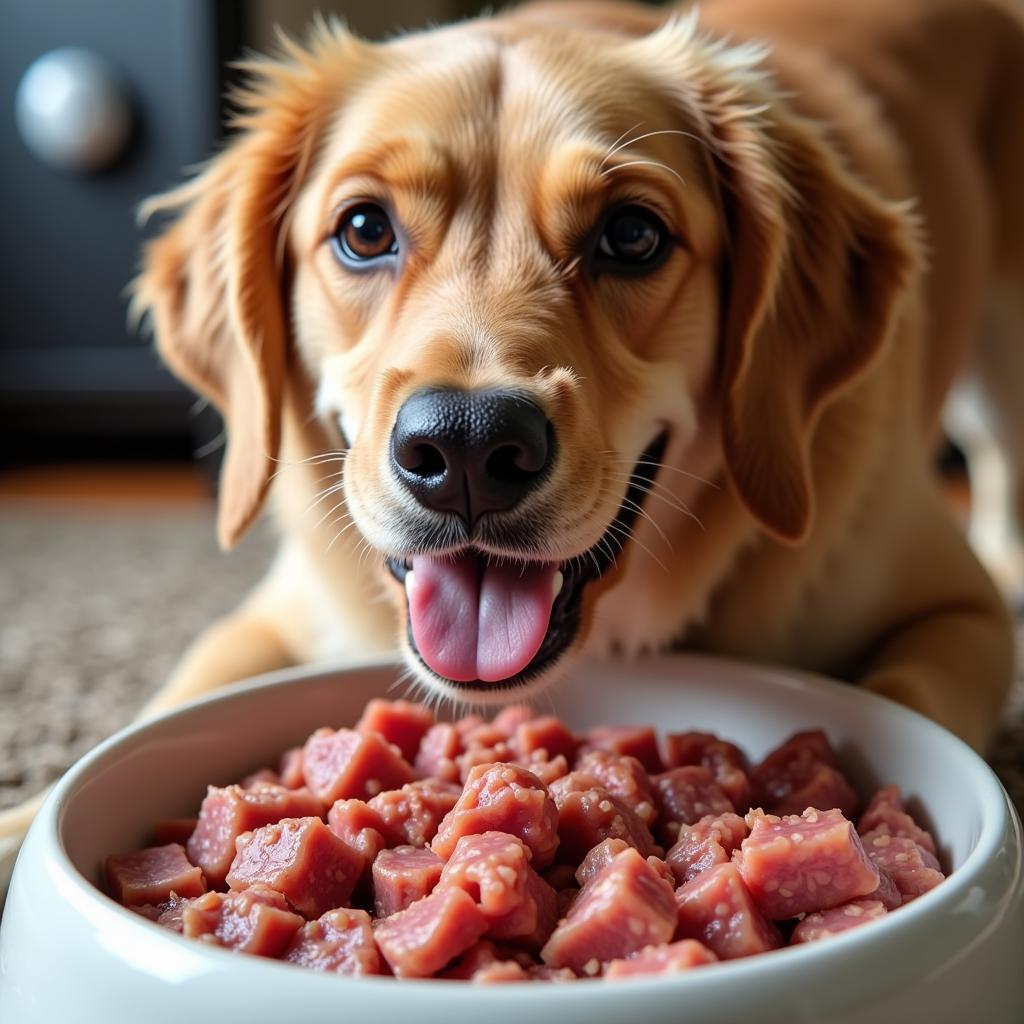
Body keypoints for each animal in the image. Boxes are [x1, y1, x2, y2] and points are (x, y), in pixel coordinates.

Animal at [2, 0, 1024, 856]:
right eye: (364, 230)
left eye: (633, 236)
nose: (463, 447)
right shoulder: (264, 619)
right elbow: (156, 709)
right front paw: (26, 824)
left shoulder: (959, 615)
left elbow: (907, 698)